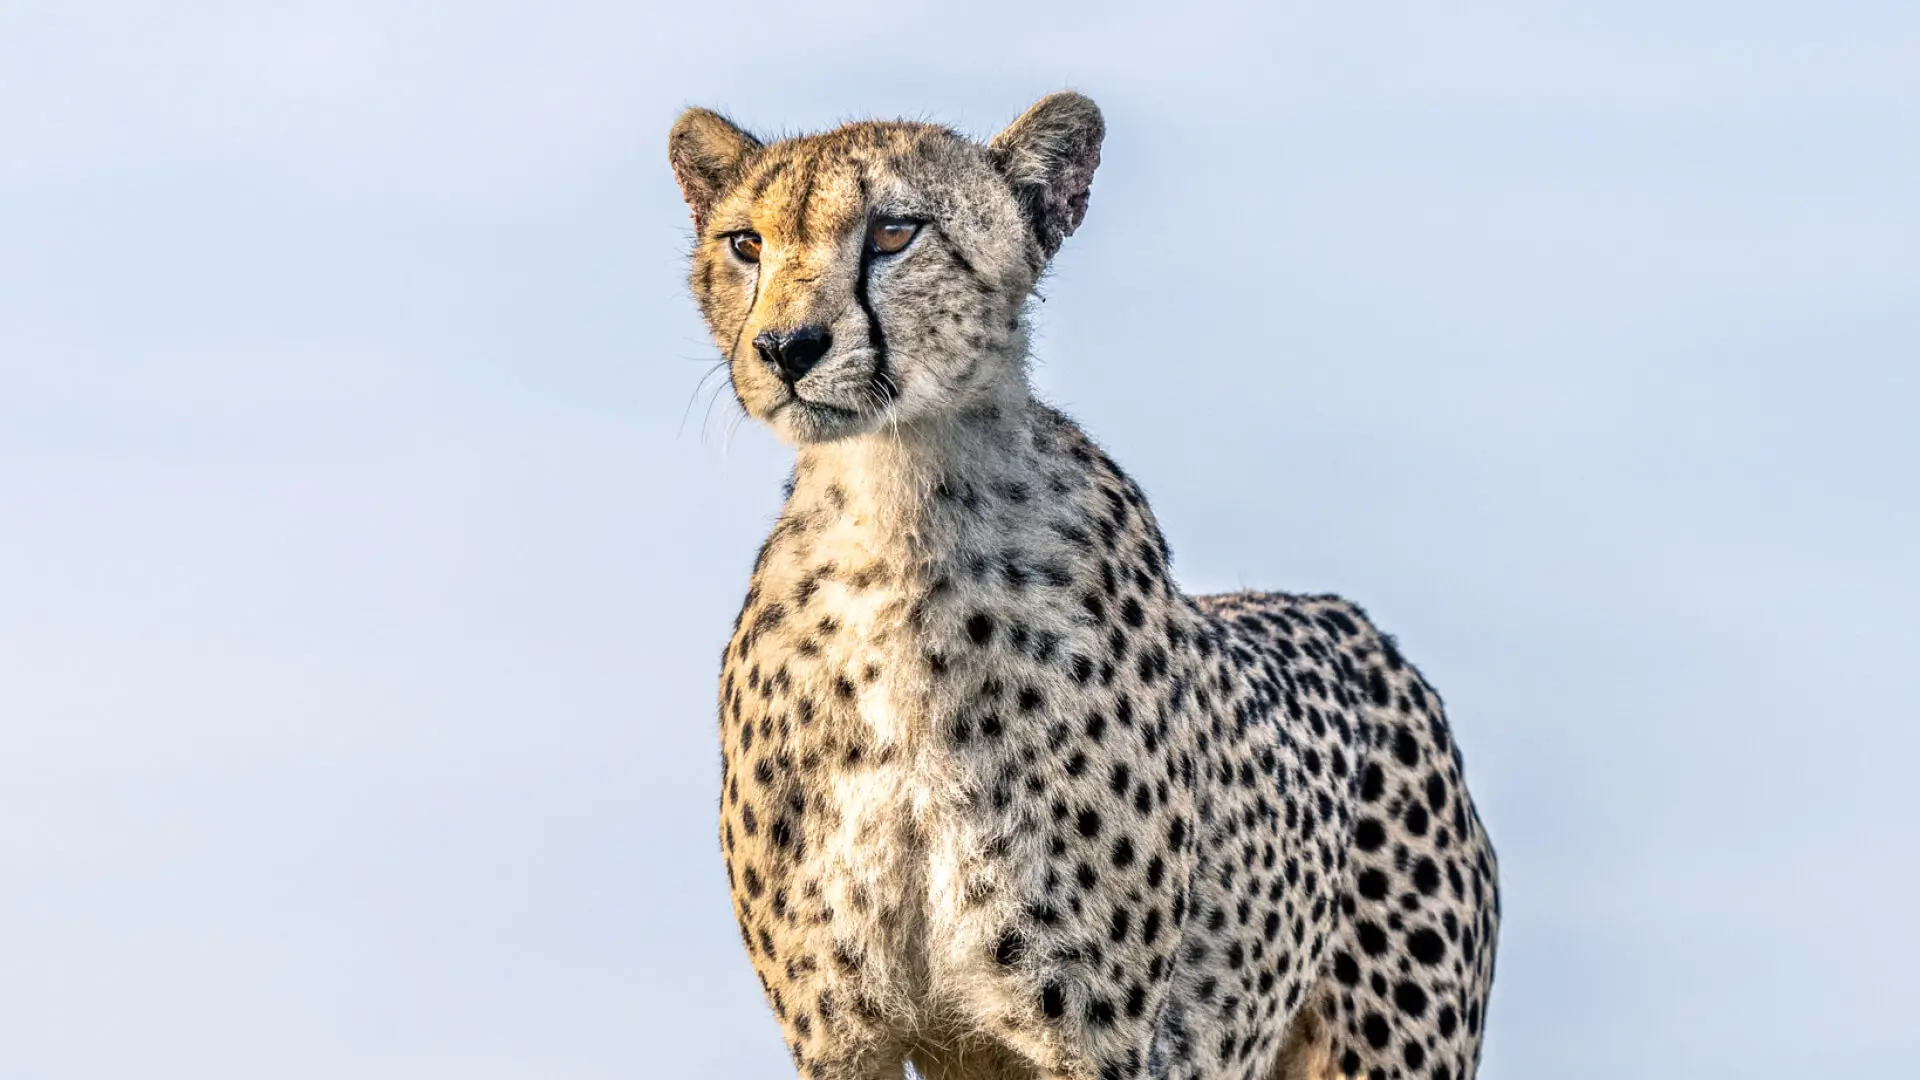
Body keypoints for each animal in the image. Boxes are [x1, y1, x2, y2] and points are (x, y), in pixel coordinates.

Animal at [669, 91, 1499, 1080]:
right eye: (745, 243)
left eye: (895, 233)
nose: (787, 347)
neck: (897, 519)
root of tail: (1361, 627)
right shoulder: (840, 1034)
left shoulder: (1096, 1035)